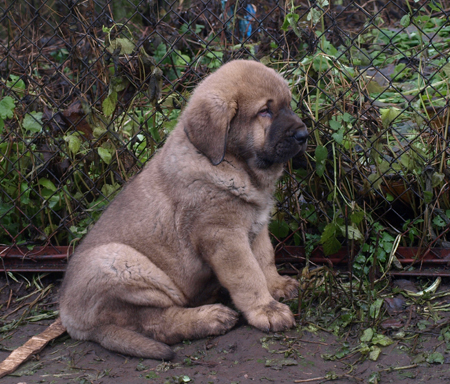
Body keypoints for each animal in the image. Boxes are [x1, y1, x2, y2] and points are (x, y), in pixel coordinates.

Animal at [58, 60, 308, 360]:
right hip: (118, 263)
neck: (235, 164)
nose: (304, 135)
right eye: (265, 112)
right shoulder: (223, 235)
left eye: (288, 105)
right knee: (157, 323)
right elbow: (248, 274)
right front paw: (266, 310)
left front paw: (277, 285)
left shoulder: (256, 227)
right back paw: (209, 318)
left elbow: (265, 259)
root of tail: (71, 320)